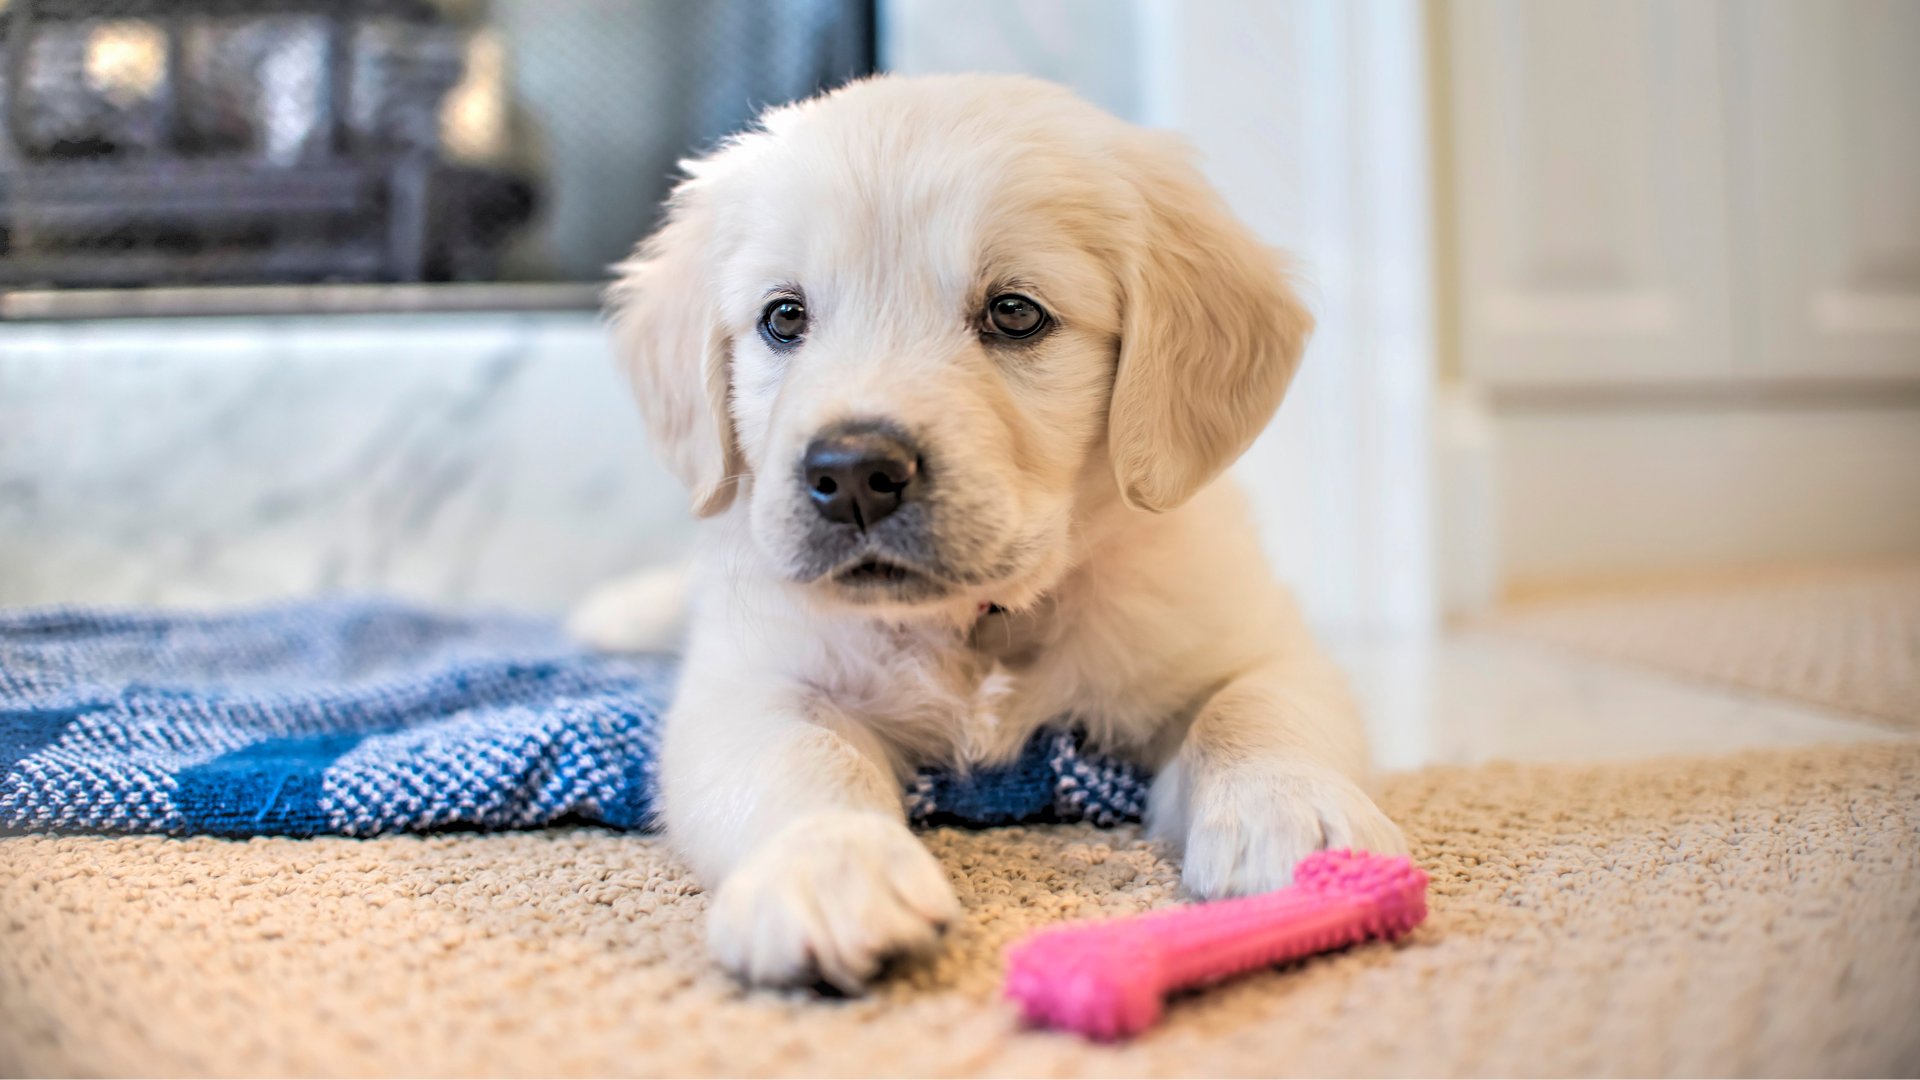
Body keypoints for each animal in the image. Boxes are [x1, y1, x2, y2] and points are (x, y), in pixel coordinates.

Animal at [576, 71, 1405, 991]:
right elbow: (798, 758)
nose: (853, 473)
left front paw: (1296, 819)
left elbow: (1253, 708)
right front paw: (830, 866)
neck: (979, 623)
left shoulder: (1248, 634)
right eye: (783, 318)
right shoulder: (754, 679)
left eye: (1014, 314)